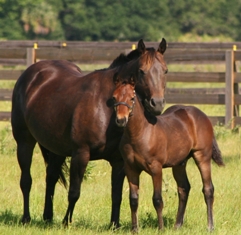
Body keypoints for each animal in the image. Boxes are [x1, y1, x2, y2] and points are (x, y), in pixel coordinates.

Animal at [10, 39, 168, 227]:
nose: (157, 104)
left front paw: (114, 224)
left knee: (51, 177)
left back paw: (48, 217)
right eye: (142, 71)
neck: (105, 108)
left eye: (165, 70)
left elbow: (116, 195)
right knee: (26, 181)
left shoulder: (119, 161)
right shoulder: (81, 153)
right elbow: (74, 192)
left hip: (57, 149)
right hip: (24, 142)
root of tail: (30, 74)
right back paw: (26, 218)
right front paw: (66, 222)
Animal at [112, 77, 225, 231]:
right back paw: (177, 225)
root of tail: (202, 115)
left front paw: (161, 228)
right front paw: (135, 229)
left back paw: (210, 226)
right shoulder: (131, 169)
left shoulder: (156, 168)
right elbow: (133, 199)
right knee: (184, 188)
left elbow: (157, 199)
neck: (140, 133)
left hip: (202, 157)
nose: (121, 120)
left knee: (208, 189)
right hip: (179, 163)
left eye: (132, 98)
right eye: (114, 97)